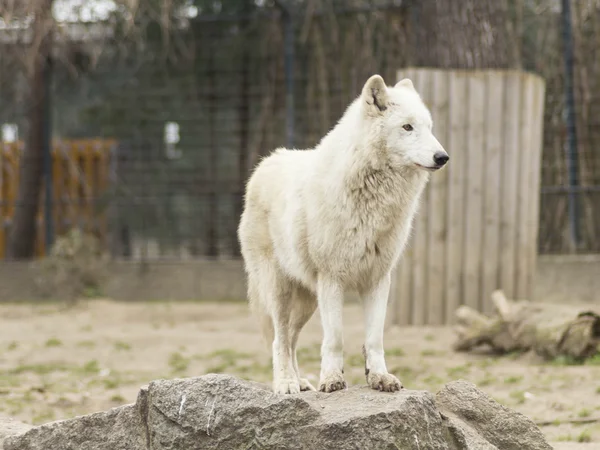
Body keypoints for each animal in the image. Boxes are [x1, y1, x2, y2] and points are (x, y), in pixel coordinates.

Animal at [237, 74, 448, 394]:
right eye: (407, 127)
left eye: (429, 127)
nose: (443, 157)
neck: (374, 199)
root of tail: (266, 162)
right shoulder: (332, 279)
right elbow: (335, 339)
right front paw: (332, 379)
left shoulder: (378, 279)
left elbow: (374, 338)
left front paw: (379, 377)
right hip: (280, 290)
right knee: (279, 339)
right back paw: (286, 383)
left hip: (308, 301)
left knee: (292, 340)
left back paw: (301, 382)